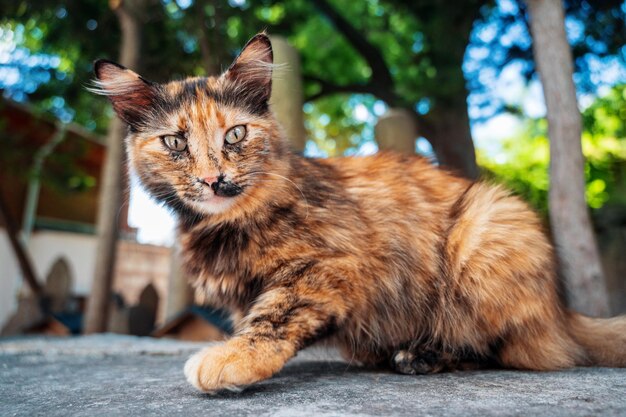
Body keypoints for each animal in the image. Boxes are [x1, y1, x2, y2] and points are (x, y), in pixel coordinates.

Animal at [92, 31, 624, 390]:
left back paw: (419, 356)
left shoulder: (333, 268)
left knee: (500, 350)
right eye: (175, 142)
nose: (212, 180)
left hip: (483, 234)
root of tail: (562, 312)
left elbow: (273, 316)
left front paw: (231, 358)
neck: (225, 223)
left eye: (235, 134)